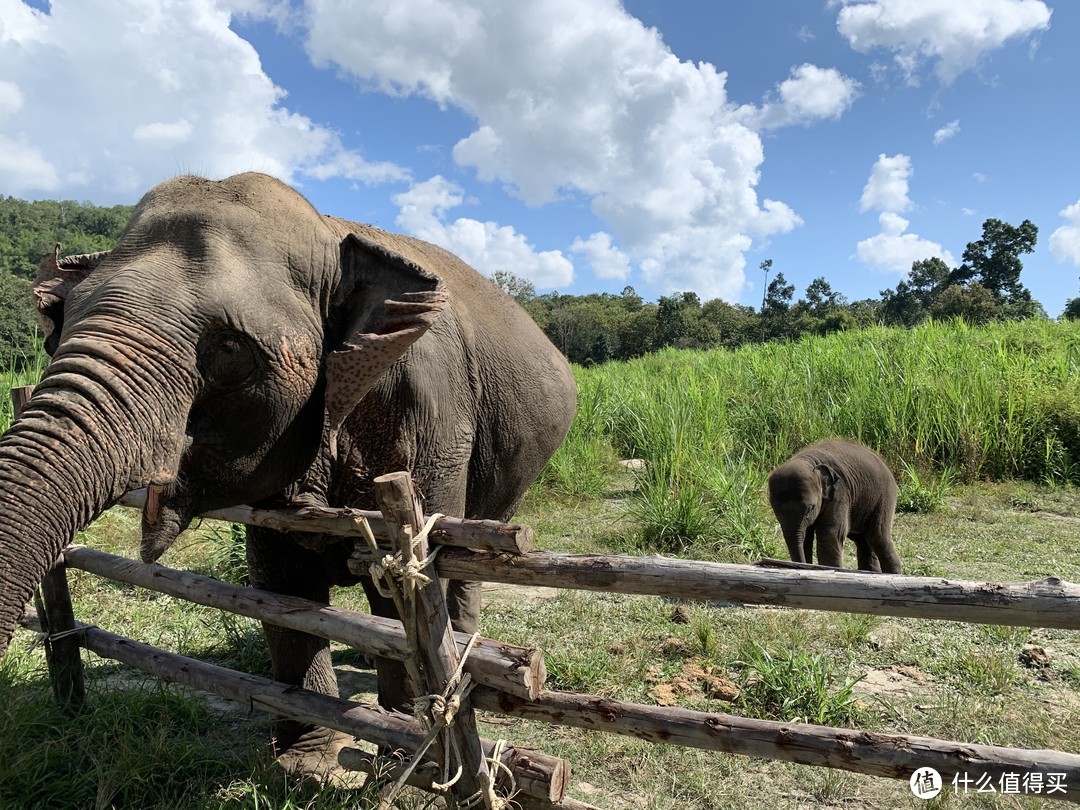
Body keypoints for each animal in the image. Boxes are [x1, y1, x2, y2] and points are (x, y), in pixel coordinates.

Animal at [0, 176, 578, 773]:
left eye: (230, 348)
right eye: (61, 326)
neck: (329, 231)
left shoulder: (430, 417)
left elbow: (402, 591)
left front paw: (399, 754)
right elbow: (280, 587)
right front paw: (304, 765)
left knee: (468, 555)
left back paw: (463, 651)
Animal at [768, 440, 902, 574]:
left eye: (810, 508)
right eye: (775, 511)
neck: (808, 461)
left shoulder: (839, 494)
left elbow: (830, 535)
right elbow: (806, 538)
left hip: (884, 497)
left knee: (877, 537)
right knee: (862, 540)